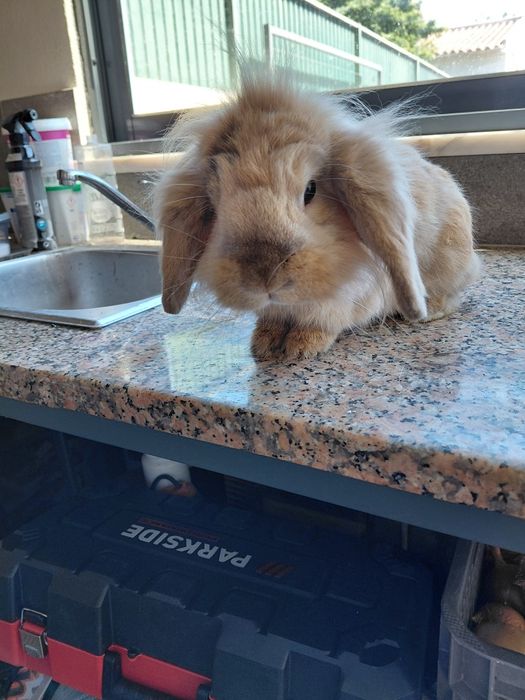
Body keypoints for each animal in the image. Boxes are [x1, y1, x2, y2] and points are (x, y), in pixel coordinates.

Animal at [154, 74, 480, 361]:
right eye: (216, 205)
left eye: (310, 190)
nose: (264, 275)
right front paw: (264, 342)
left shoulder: (349, 300)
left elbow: (322, 322)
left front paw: (302, 346)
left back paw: (430, 311)